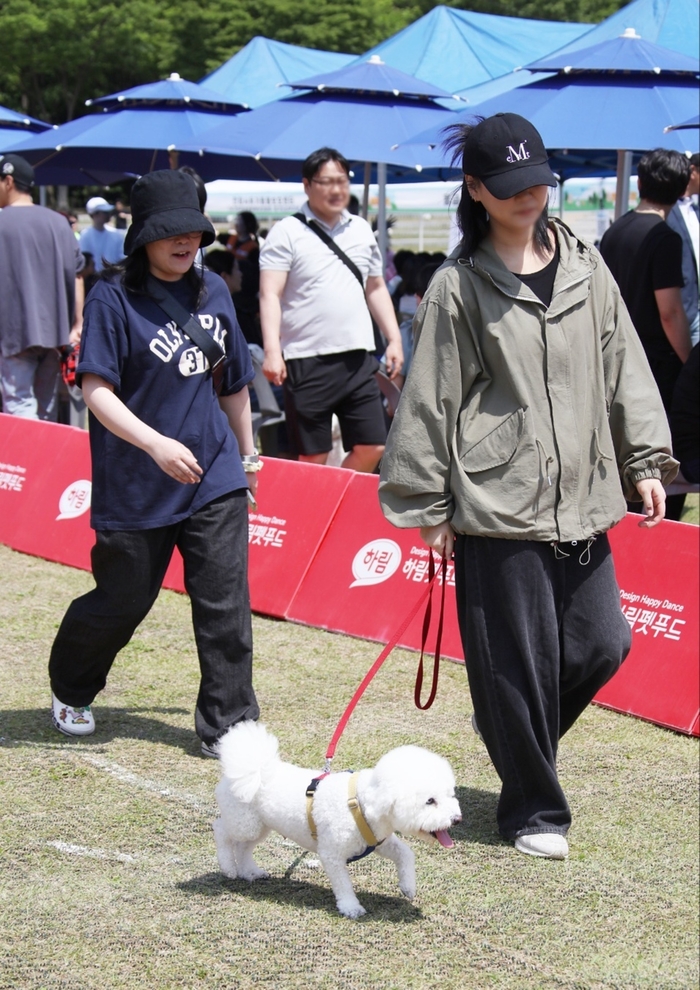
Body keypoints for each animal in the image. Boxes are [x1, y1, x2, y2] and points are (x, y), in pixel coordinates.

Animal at [213, 720, 464, 924]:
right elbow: (343, 883)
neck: (361, 802)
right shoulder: (331, 854)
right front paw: (351, 907)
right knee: (221, 830)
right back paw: (228, 868)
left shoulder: (378, 841)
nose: (457, 819)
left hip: (259, 826)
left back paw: (249, 872)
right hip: (244, 822)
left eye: (450, 794)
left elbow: (406, 854)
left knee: (243, 847)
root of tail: (252, 768)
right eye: (430, 801)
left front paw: (408, 886)